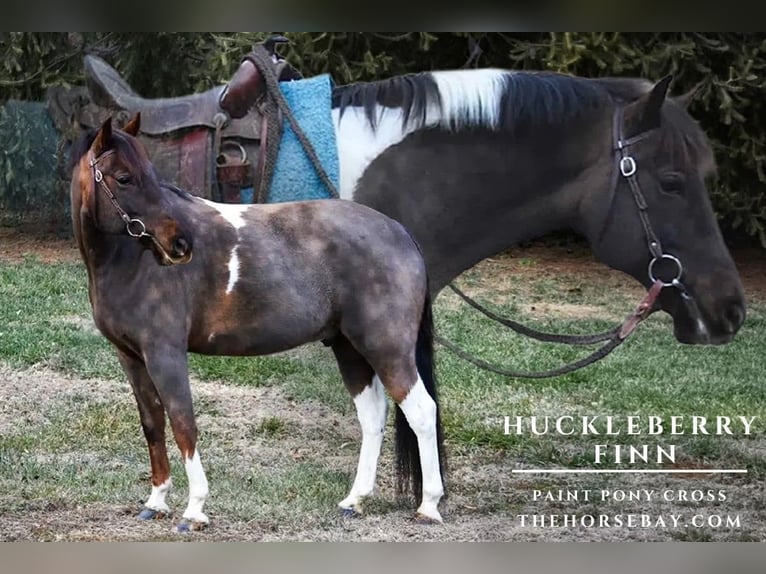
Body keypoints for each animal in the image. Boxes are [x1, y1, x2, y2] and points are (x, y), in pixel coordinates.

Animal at [69, 113, 446, 531]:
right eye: (124, 178)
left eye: (149, 174)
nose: (180, 245)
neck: (130, 262)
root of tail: (400, 232)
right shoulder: (132, 357)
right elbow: (153, 423)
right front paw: (157, 501)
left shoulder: (165, 354)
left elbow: (184, 423)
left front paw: (194, 510)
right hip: (350, 349)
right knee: (373, 417)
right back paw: (355, 500)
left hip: (388, 348)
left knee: (421, 412)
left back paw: (429, 505)